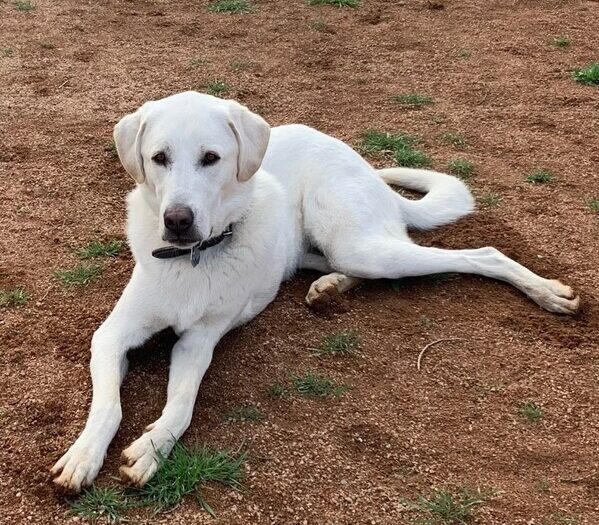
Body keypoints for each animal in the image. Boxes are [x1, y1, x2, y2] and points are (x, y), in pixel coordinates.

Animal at [51, 89, 580, 492]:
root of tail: (360, 162)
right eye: (158, 158)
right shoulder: (112, 335)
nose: (178, 221)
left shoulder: (199, 342)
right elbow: (108, 406)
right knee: (349, 267)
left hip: (359, 243)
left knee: (480, 253)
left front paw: (151, 448)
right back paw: (330, 287)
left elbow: (181, 406)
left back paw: (547, 292)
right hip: (325, 250)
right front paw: (83, 455)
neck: (192, 260)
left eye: (211, 158)